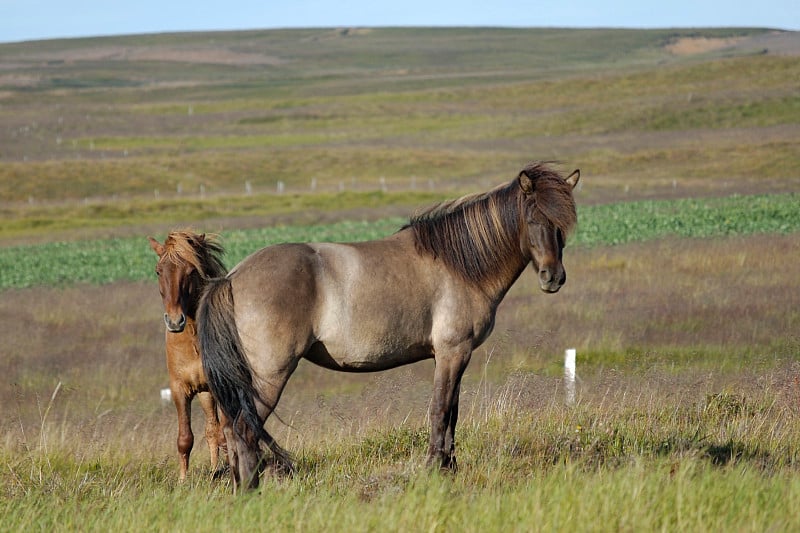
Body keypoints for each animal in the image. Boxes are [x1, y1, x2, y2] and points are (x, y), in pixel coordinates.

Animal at [148, 231, 228, 480]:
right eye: (158, 271)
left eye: (192, 271)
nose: (175, 321)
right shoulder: (179, 389)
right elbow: (185, 439)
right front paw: (183, 480)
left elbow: (226, 434)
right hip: (204, 393)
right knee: (211, 429)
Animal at [197, 162, 580, 490]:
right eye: (532, 218)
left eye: (565, 221)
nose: (554, 277)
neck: (460, 265)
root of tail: (231, 278)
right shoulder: (453, 352)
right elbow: (440, 410)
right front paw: (434, 468)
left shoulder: (455, 356)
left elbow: (453, 412)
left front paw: (449, 467)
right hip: (268, 377)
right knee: (244, 429)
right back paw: (250, 490)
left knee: (232, 429)